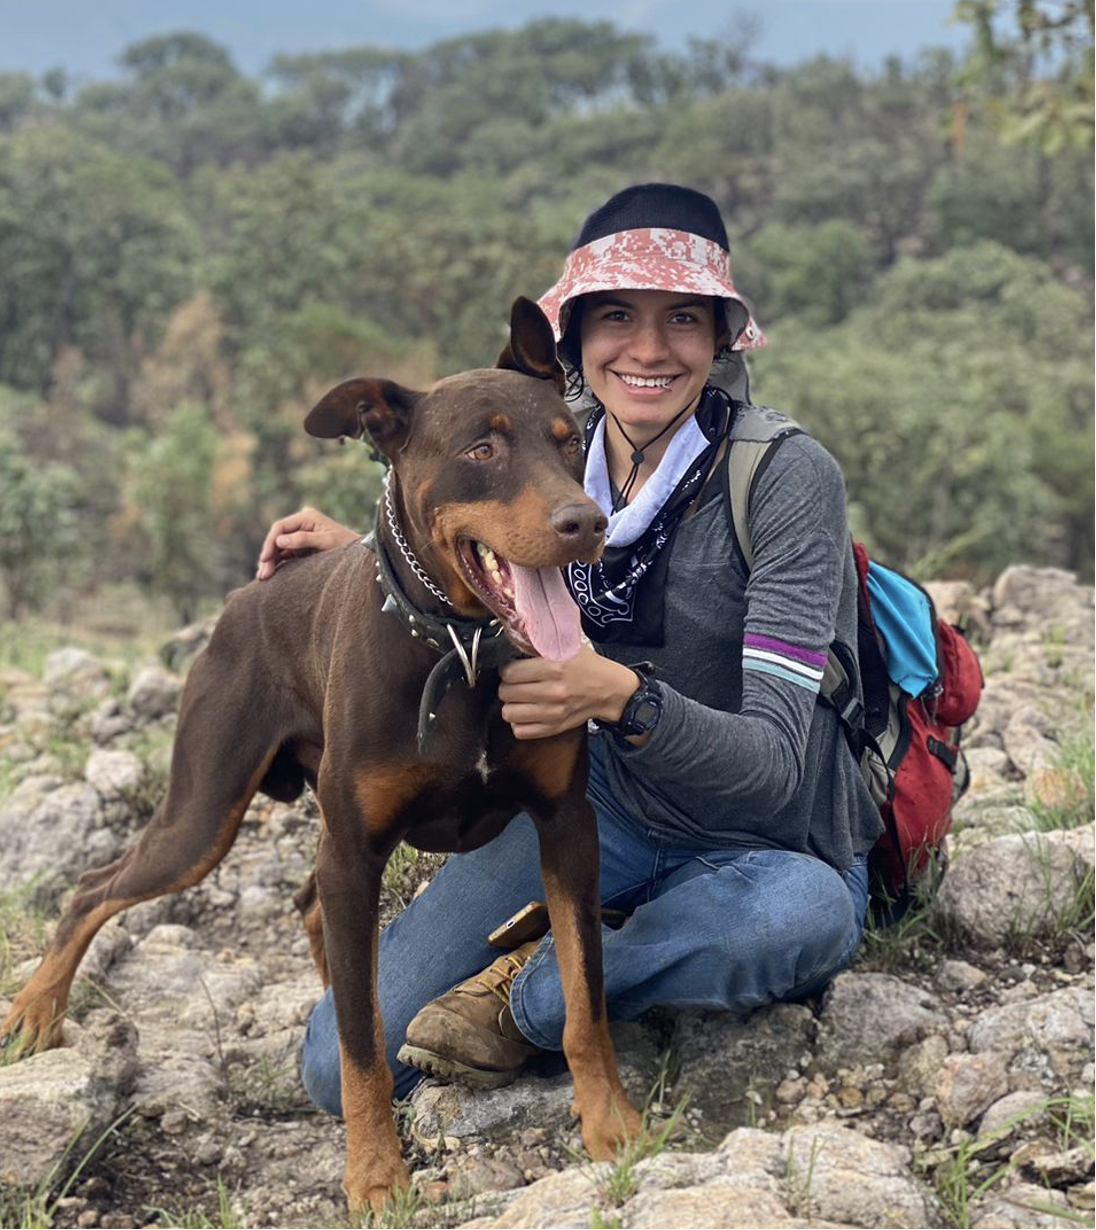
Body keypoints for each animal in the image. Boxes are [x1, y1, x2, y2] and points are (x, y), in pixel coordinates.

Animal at [0, 295, 644, 1210]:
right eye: (481, 450)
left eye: (566, 441)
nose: (585, 524)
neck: (462, 651)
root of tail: (246, 595)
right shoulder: (356, 849)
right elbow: (361, 1045)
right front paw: (375, 1174)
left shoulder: (565, 824)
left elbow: (585, 993)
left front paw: (612, 1122)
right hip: (203, 814)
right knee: (97, 887)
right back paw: (36, 1010)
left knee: (308, 906)